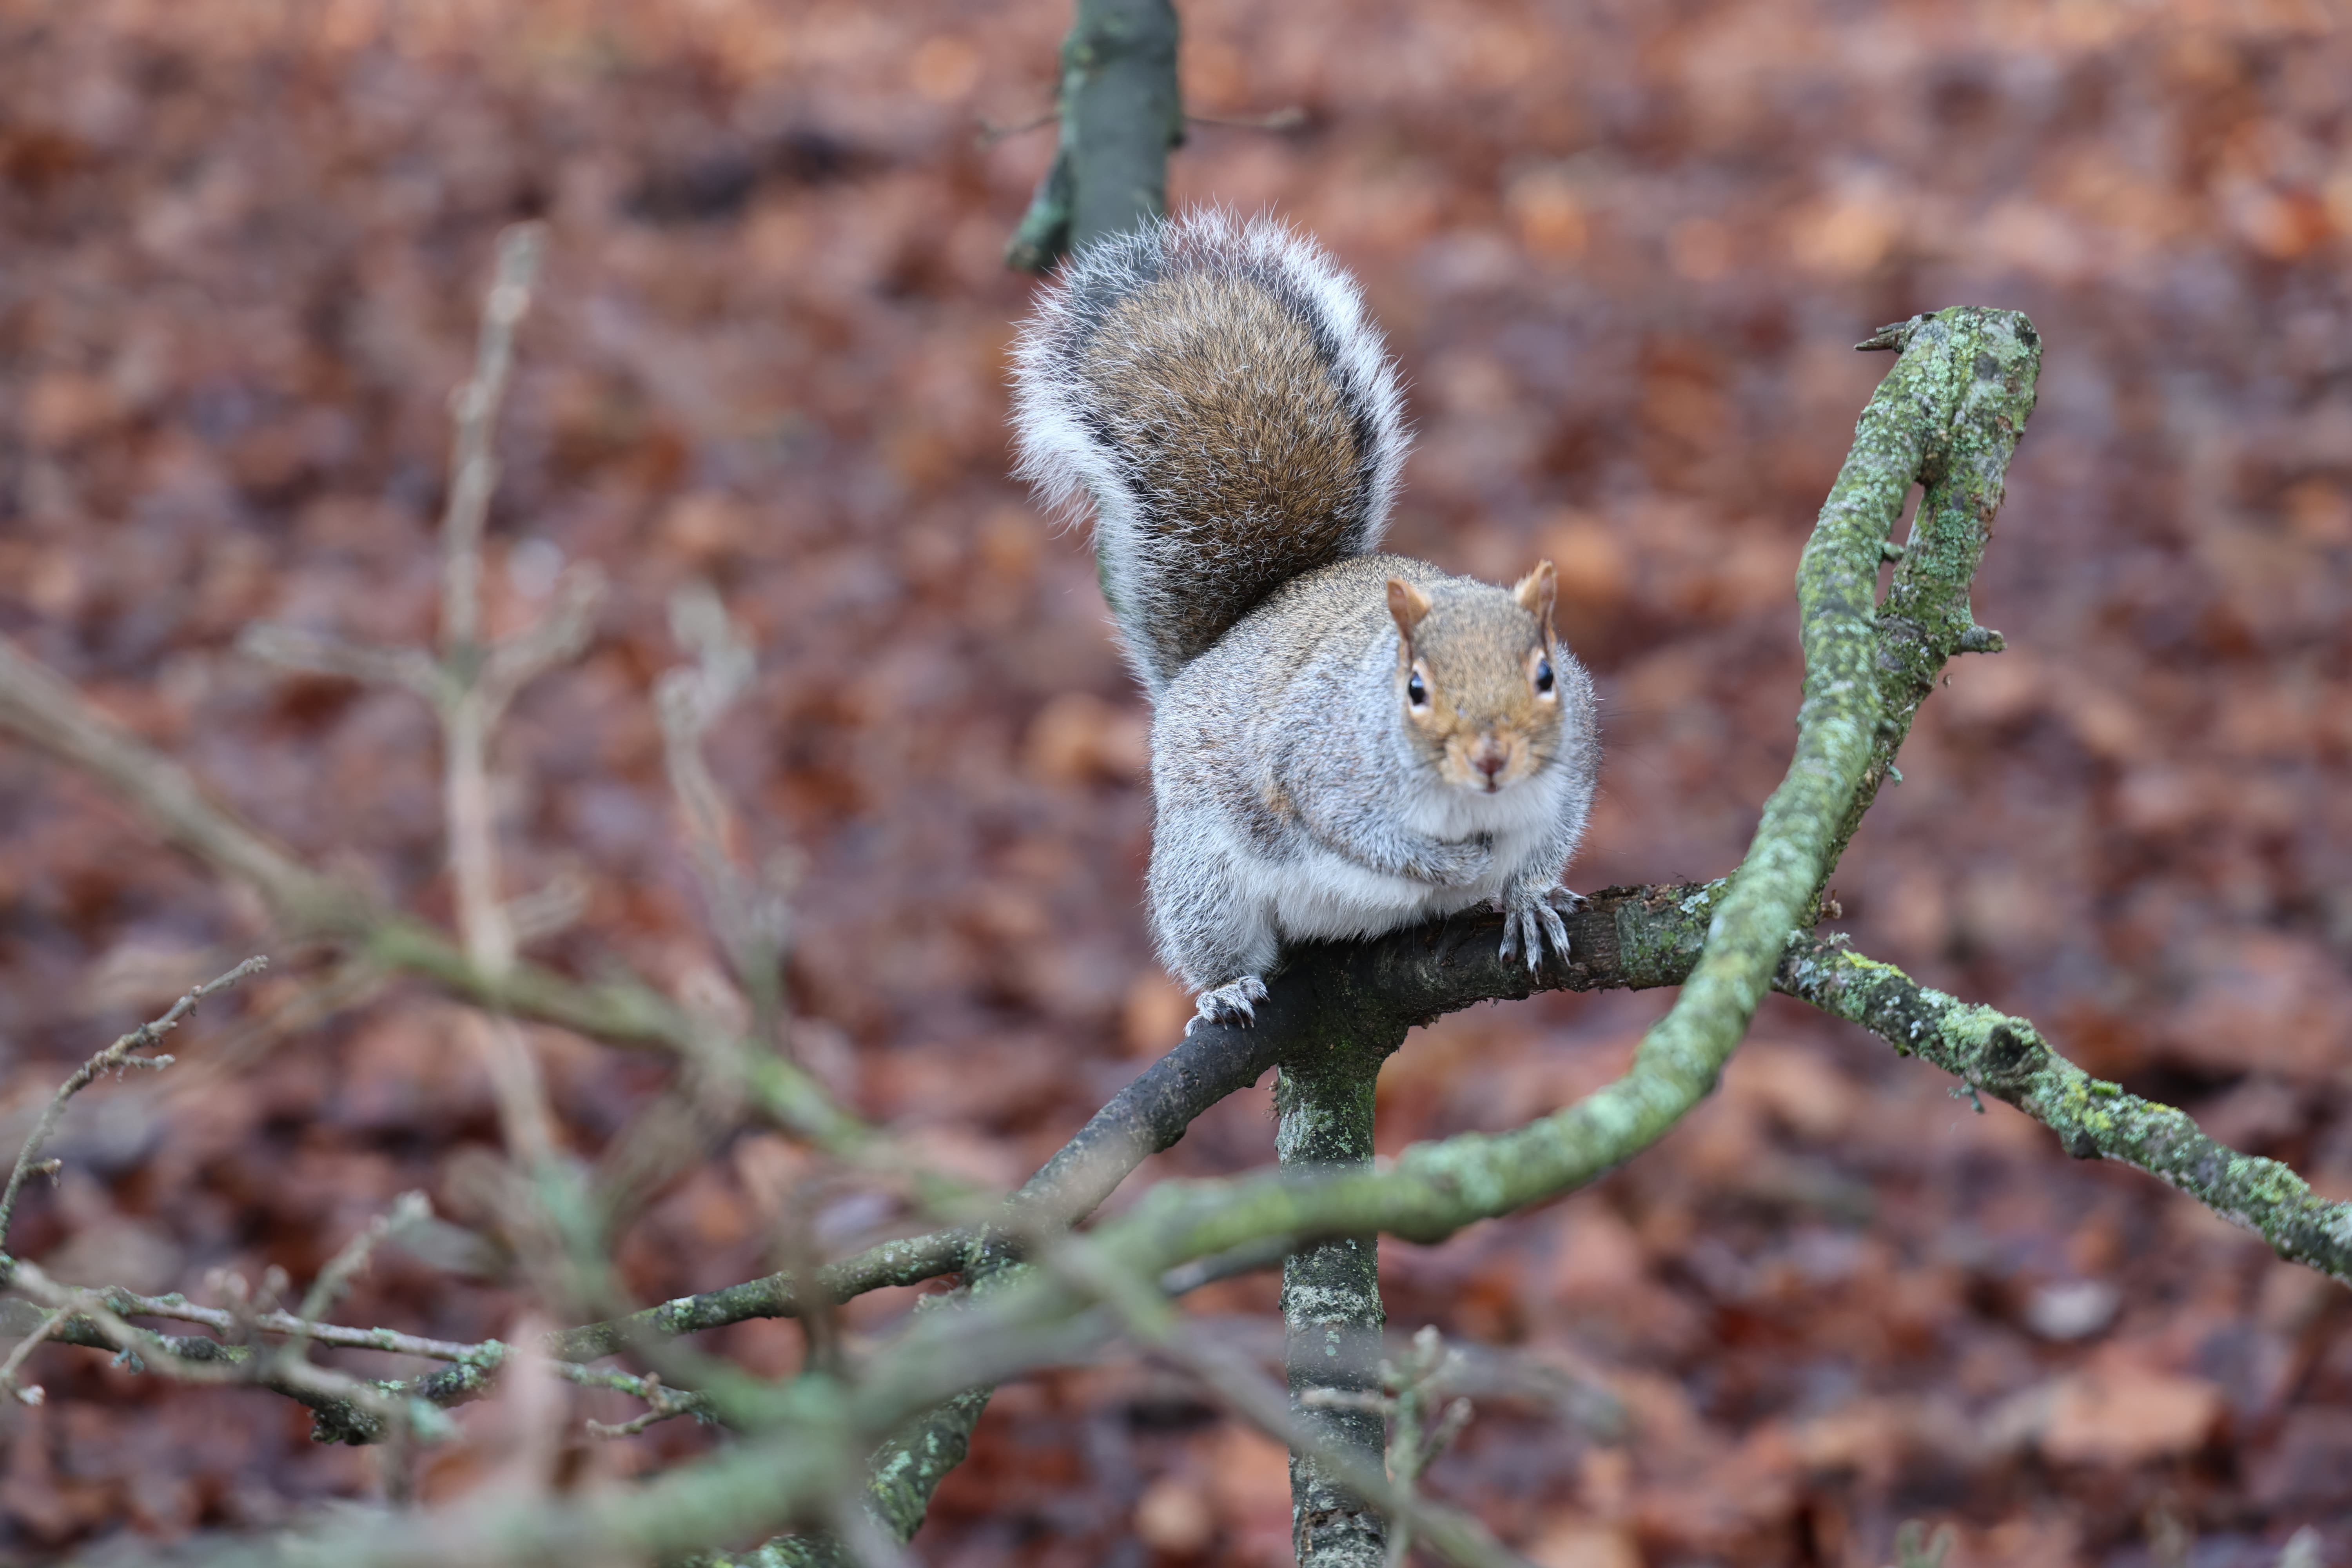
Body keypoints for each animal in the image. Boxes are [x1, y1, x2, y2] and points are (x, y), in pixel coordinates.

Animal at [1011, 217, 1599, 1029]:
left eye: (1545, 677)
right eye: (1414, 689)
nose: (1490, 758)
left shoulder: (1571, 770)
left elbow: (1547, 846)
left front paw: (1530, 900)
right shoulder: (1318, 763)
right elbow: (1351, 829)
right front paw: (1447, 863)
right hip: (1203, 875)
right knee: (1211, 934)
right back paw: (1225, 988)